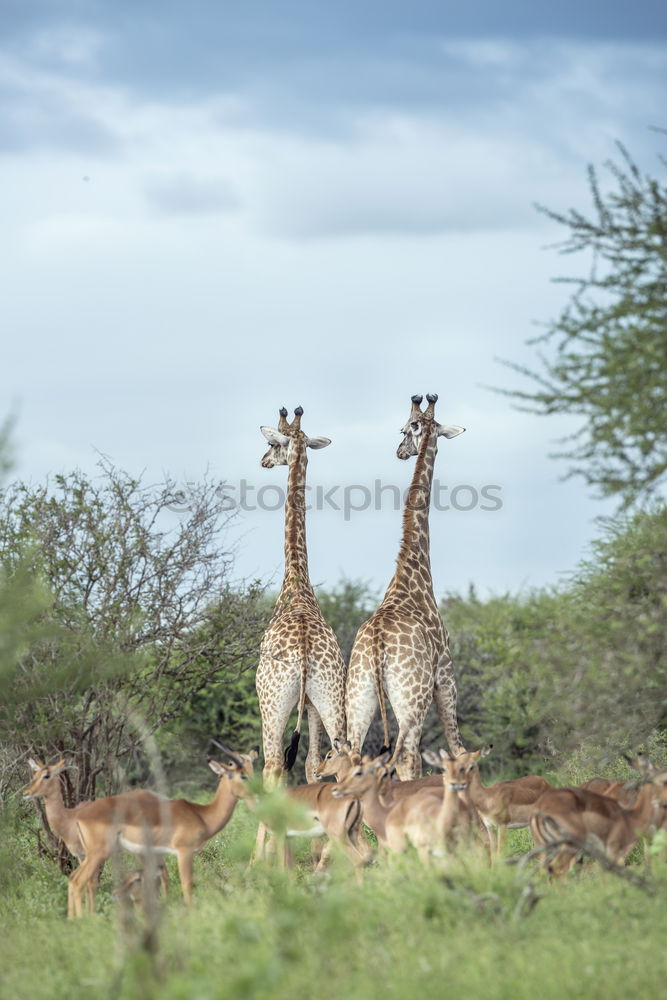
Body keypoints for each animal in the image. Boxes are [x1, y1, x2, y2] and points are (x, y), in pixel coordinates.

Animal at [348, 392, 468, 780]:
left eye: (405, 430)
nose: (400, 451)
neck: (413, 573)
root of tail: (377, 646)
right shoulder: (445, 674)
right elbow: (458, 749)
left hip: (358, 694)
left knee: (349, 755)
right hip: (412, 697)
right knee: (408, 756)